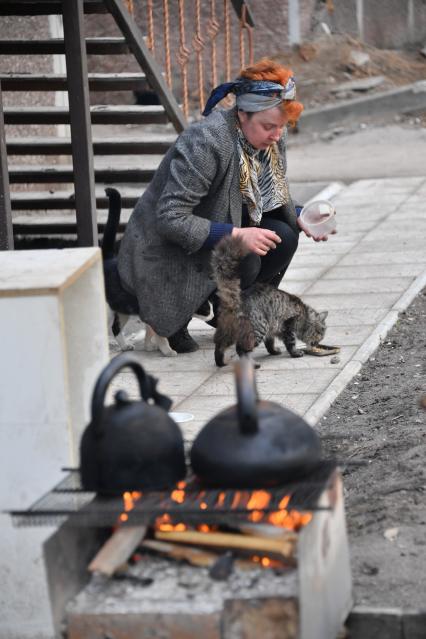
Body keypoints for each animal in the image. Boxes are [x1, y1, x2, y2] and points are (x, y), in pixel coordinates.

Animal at [211, 236, 328, 368]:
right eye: (320, 332)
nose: (317, 343)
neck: (305, 314)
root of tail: (236, 300)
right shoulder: (288, 326)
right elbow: (291, 343)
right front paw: (295, 353)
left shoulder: (272, 329)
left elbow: (270, 342)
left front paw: (274, 351)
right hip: (258, 329)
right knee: (241, 349)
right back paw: (252, 364)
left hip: (227, 331)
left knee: (219, 346)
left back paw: (220, 362)